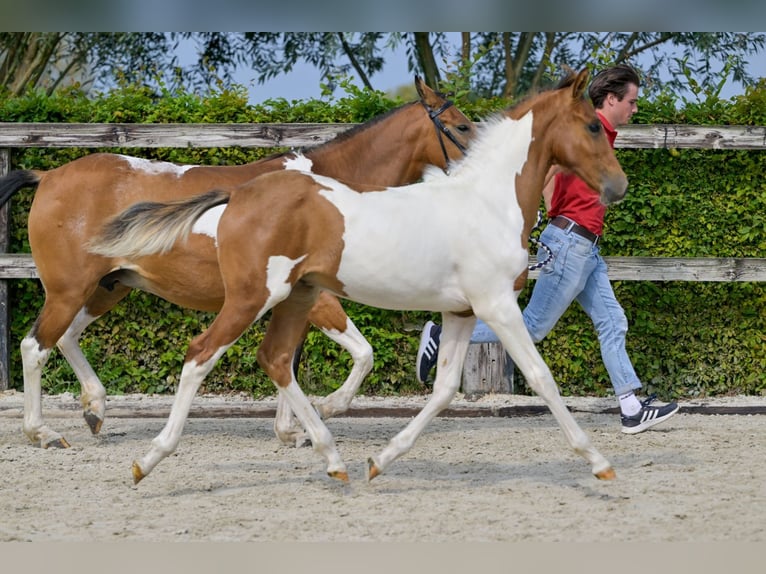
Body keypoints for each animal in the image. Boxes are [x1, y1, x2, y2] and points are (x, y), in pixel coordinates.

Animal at [0, 79, 476, 452]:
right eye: (462, 126)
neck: (326, 196)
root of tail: (49, 177)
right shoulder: (321, 299)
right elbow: (362, 354)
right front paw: (326, 409)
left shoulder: (297, 299)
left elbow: (290, 360)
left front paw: (290, 431)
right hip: (70, 289)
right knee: (34, 347)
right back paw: (42, 433)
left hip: (109, 286)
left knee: (66, 338)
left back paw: (95, 409)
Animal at [91, 70, 632, 488]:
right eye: (591, 126)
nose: (618, 186)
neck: (485, 203)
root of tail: (238, 194)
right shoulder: (497, 305)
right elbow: (541, 378)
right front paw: (599, 462)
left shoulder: (461, 311)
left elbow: (443, 389)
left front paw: (380, 460)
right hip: (252, 297)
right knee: (200, 354)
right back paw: (147, 458)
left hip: (296, 297)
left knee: (277, 359)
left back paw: (332, 458)